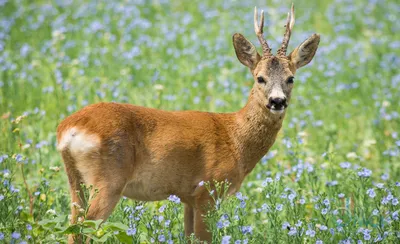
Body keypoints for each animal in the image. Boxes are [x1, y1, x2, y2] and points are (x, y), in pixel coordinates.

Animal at [57, 3, 318, 242]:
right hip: (108, 180)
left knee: (73, 227)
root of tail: (69, 129)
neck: (235, 139)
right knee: (85, 229)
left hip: (76, 181)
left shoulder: (188, 198)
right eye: (260, 78)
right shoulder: (208, 190)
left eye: (291, 78)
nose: (277, 101)